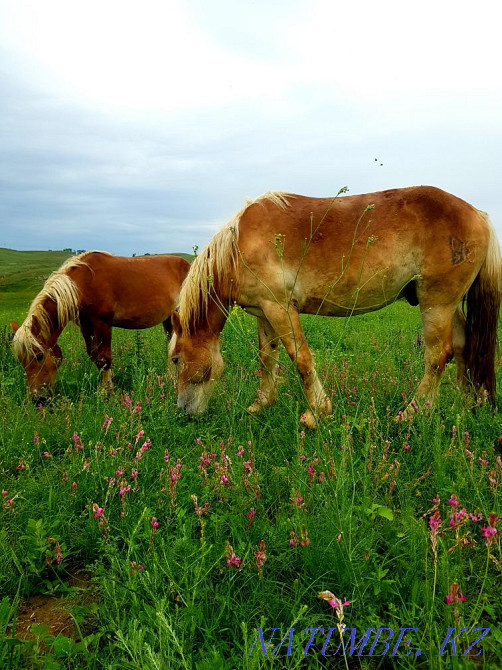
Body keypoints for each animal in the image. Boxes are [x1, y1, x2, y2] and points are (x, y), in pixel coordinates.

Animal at [11, 251, 190, 401]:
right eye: (20, 360)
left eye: (39, 355)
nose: (37, 398)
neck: (82, 284)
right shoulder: (85, 325)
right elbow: (94, 356)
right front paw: (104, 388)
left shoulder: (102, 323)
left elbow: (104, 359)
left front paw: (107, 392)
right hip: (168, 319)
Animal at [169, 186, 500, 428]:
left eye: (174, 360)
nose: (184, 410)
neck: (239, 246)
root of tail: (479, 214)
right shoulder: (263, 312)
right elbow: (267, 359)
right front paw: (261, 404)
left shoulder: (280, 308)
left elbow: (301, 359)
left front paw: (316, 413)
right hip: (448, 304)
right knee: (463, 345)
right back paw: (463, 405)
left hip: (436, 303)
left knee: (437, 356)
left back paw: (413, 412)